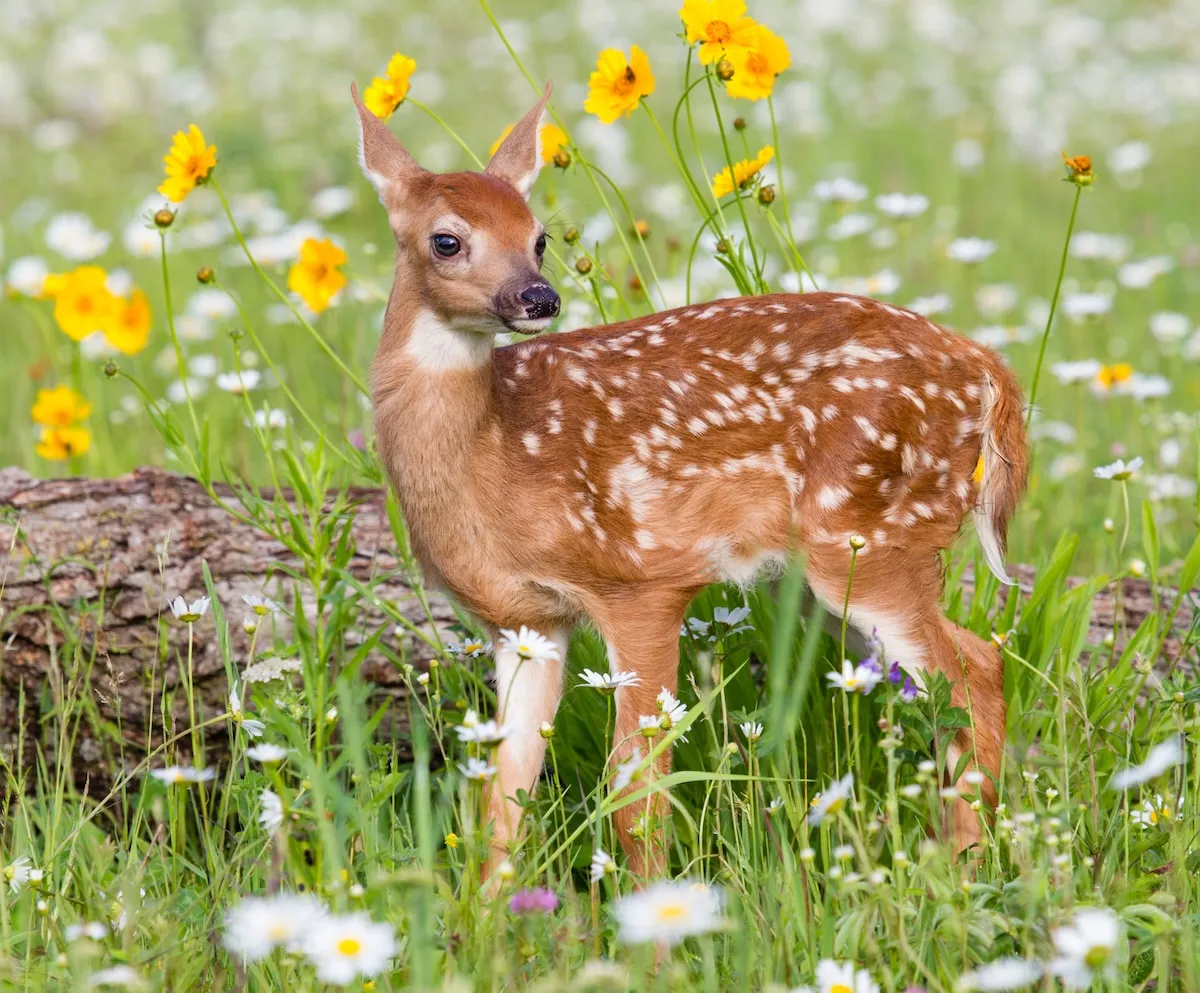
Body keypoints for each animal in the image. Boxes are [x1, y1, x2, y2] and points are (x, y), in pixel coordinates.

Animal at [353, 80, 1028, 877]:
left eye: (539, 234)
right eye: (447, 240)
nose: (538, 297)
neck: (494, 455)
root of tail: (984, 366)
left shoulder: (641, 579)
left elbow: (635, 792)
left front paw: (652, 908)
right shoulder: (526, 621)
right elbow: (503, 797)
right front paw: (488, 910)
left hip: (871, 534)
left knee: (977, 671)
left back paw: (963, 868)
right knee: (966, 669)